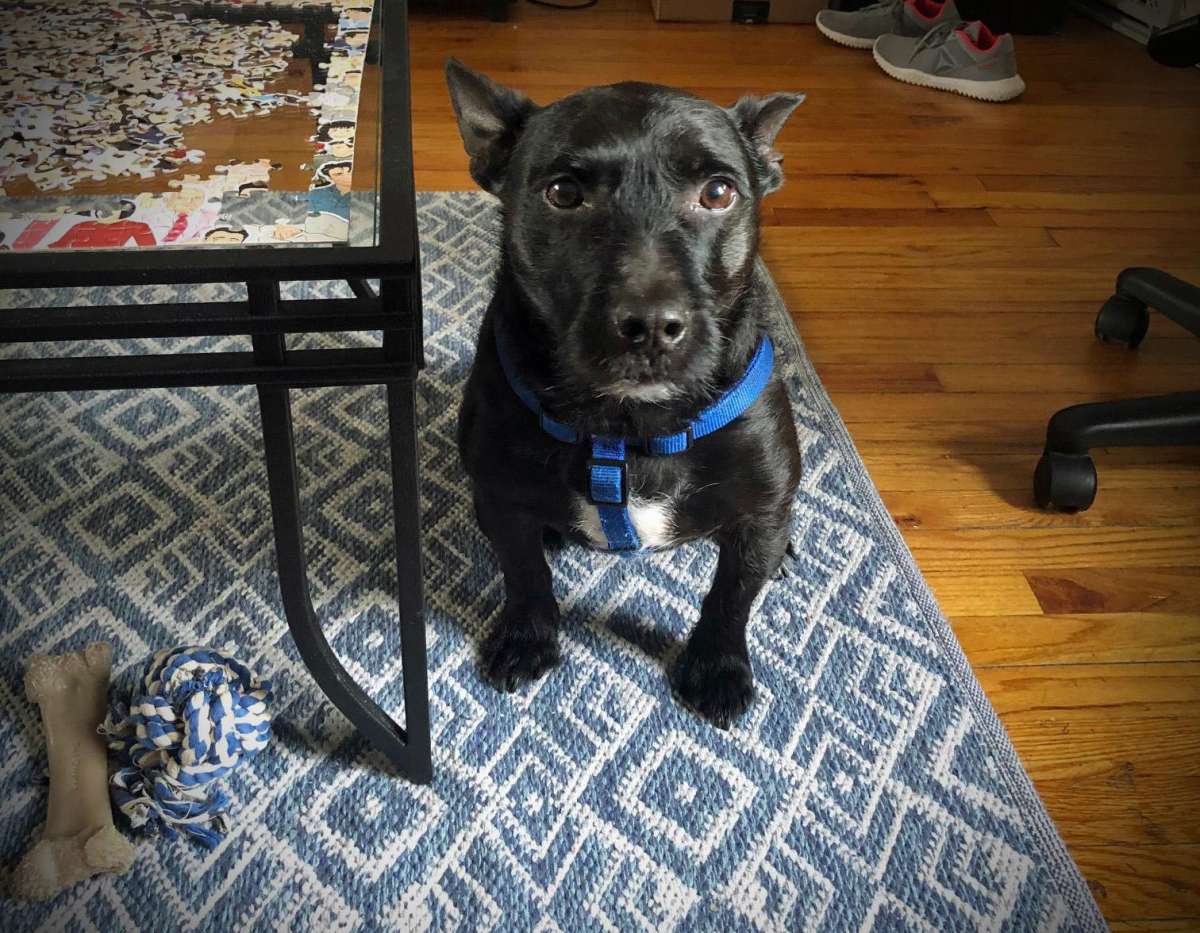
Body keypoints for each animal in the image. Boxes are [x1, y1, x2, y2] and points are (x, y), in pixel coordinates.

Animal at [446, 60, 803, 728]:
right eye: (563, 193)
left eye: (719, 193)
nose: (652, 325)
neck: (628, 425)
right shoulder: (501, 500)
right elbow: (524, 575)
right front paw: (527, 638)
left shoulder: (757, 518)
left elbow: (732, 596)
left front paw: (717, 668)